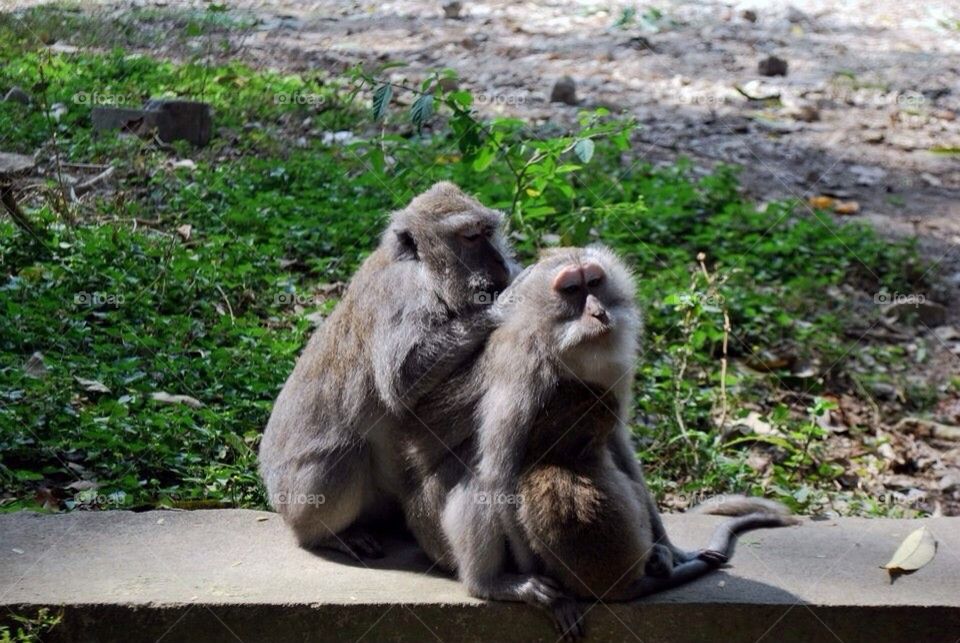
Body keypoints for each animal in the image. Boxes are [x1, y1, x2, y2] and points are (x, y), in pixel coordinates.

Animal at [258, 182, 518, 560]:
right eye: (470, 237)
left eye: (488, 233)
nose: (500, 261)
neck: (423, 270)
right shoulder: (402, 292)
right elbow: (401, 379)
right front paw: (505, 305)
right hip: (297, 501)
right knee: (345, 456)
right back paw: (330, 536)